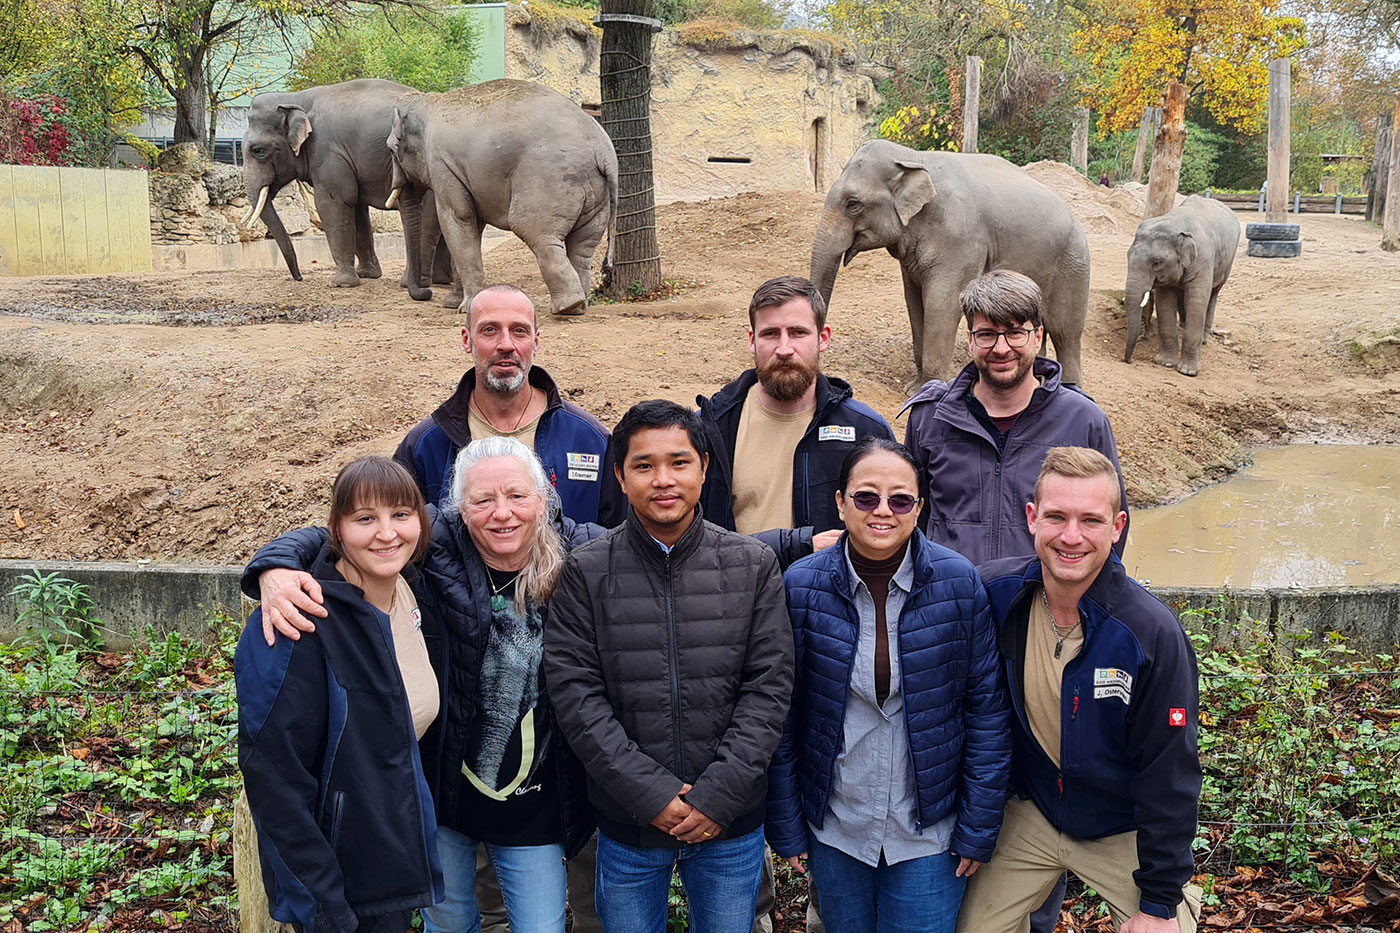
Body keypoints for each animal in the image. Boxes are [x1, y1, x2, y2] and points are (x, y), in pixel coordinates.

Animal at [240, 81, 448, 298]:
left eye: (258, 151)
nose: (299, 277)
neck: (296, 98)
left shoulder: (326, 152)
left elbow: (334, 202)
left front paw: (340, 284)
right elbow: (357, 208)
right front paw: (367, 275)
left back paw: (411, 284)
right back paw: (440, 281)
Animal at [389, 79, 618, 316]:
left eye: (391, 150)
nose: (426, 294)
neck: (430, 101)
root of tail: (604, 154)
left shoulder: (442, 163)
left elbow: (458, 217)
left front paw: (465, 308)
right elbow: (473, 224)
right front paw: (454, 304)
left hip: (550, 181)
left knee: (536, 234)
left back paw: (566, 307)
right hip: (596, 195)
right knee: (583, 247)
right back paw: (579, 307)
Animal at [812, 137, 1092, 383]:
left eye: (853, 204)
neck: (914, 157)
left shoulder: (961, 242)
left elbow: (941, 303)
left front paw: (928, 387)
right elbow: (915, 301)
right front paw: (915, 386)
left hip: (1073, 263)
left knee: (1065, 330)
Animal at [1120, 194, 1243, 375]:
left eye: (1156, 263)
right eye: (1128, 256)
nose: (1128, 360)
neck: (1176, 221)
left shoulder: (1203, 259)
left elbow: (1197, 300)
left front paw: (1187, 371)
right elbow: (1164, 303)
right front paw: (1165, 363)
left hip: (1227, 263)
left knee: (1213, 294)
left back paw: (1204, 339)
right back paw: (1183, 325)